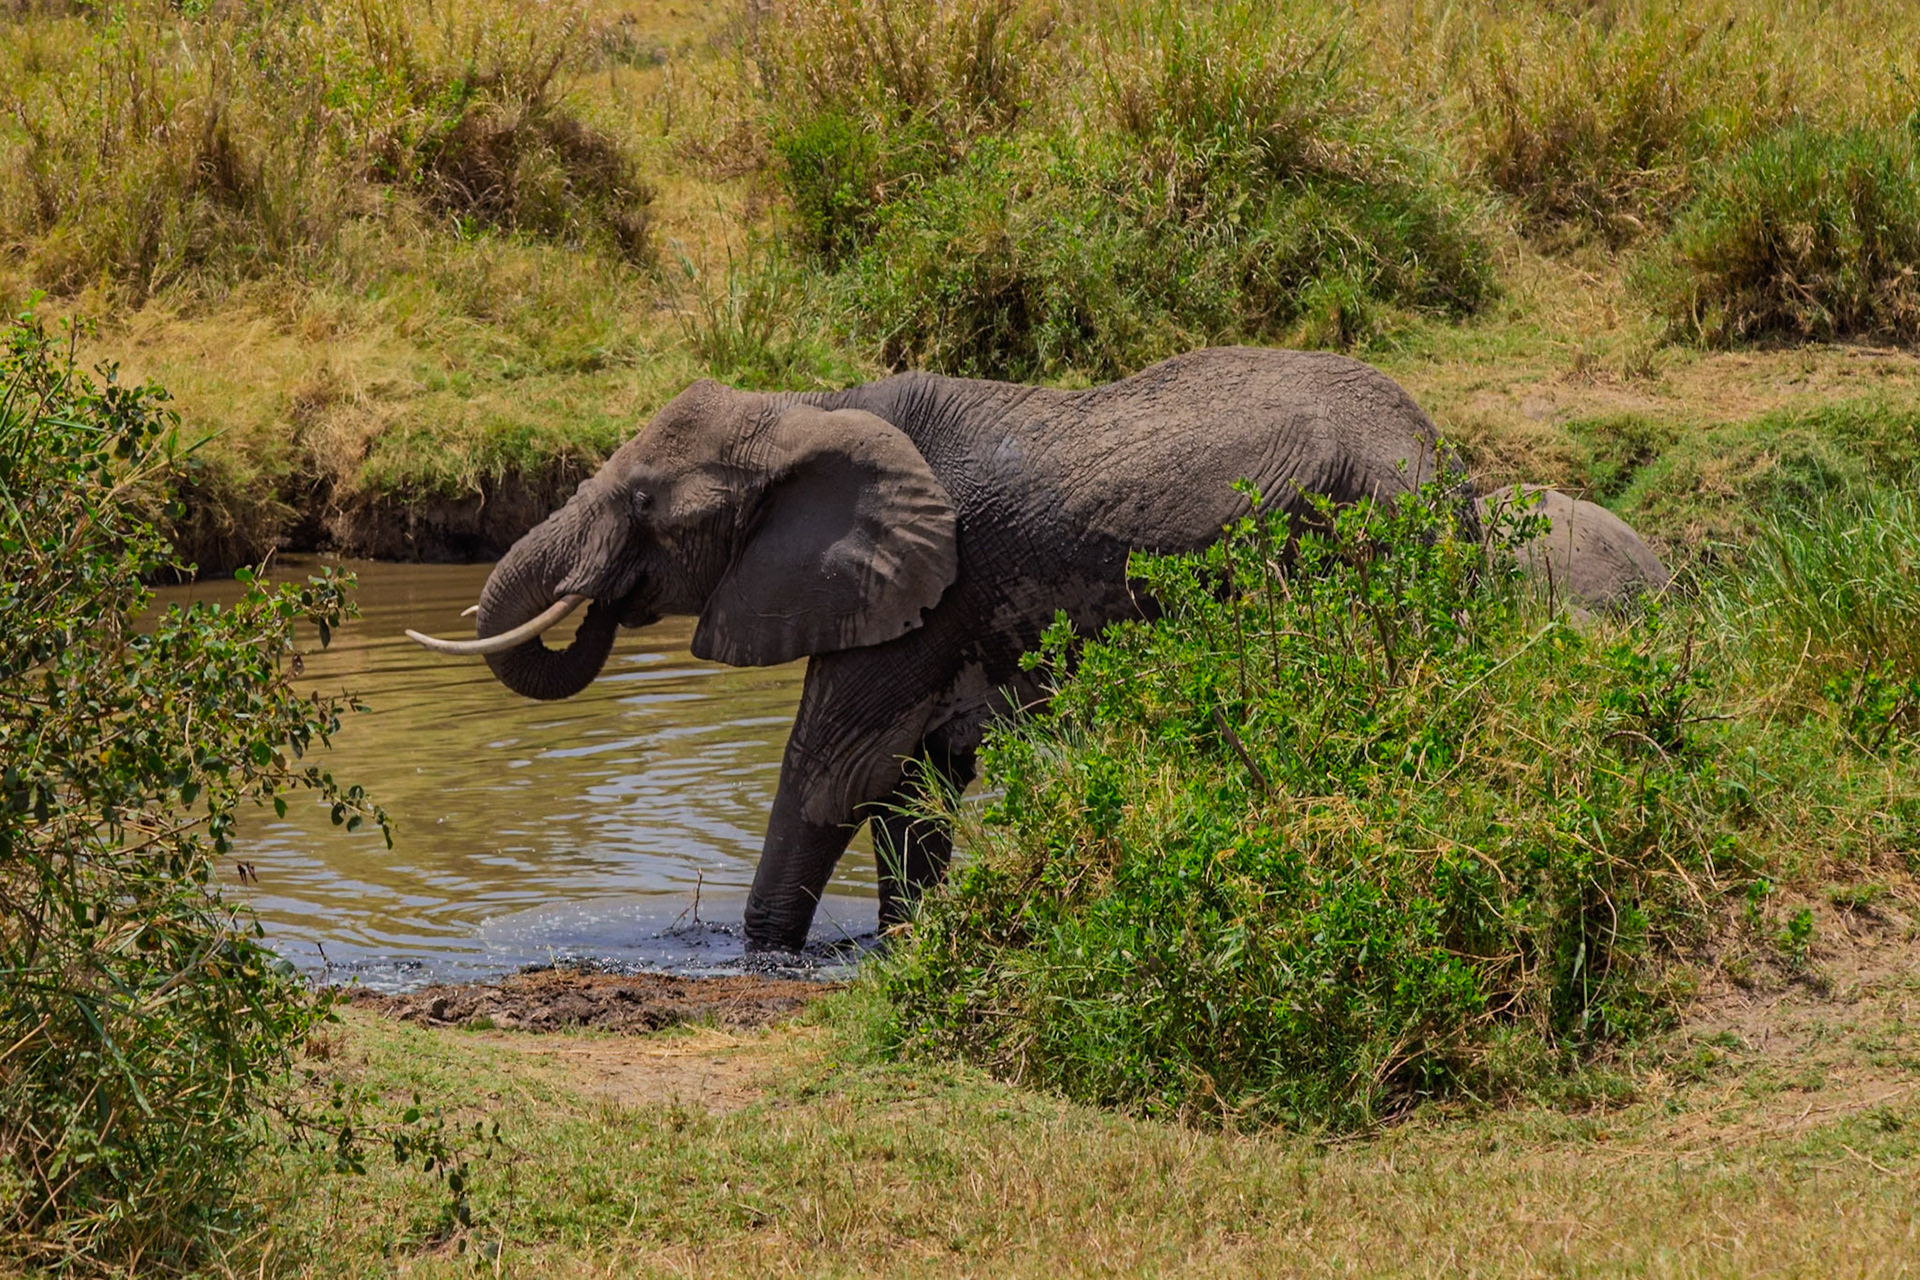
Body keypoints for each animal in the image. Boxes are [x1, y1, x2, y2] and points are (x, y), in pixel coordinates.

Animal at [407, 347, 1470, 953]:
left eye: (645, 505)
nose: (601, 598)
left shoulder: (927, 586)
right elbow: (916, 783)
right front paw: (902, 941)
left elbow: (834, 771)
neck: (811, 404)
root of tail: (1445, 458)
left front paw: (766, 952)